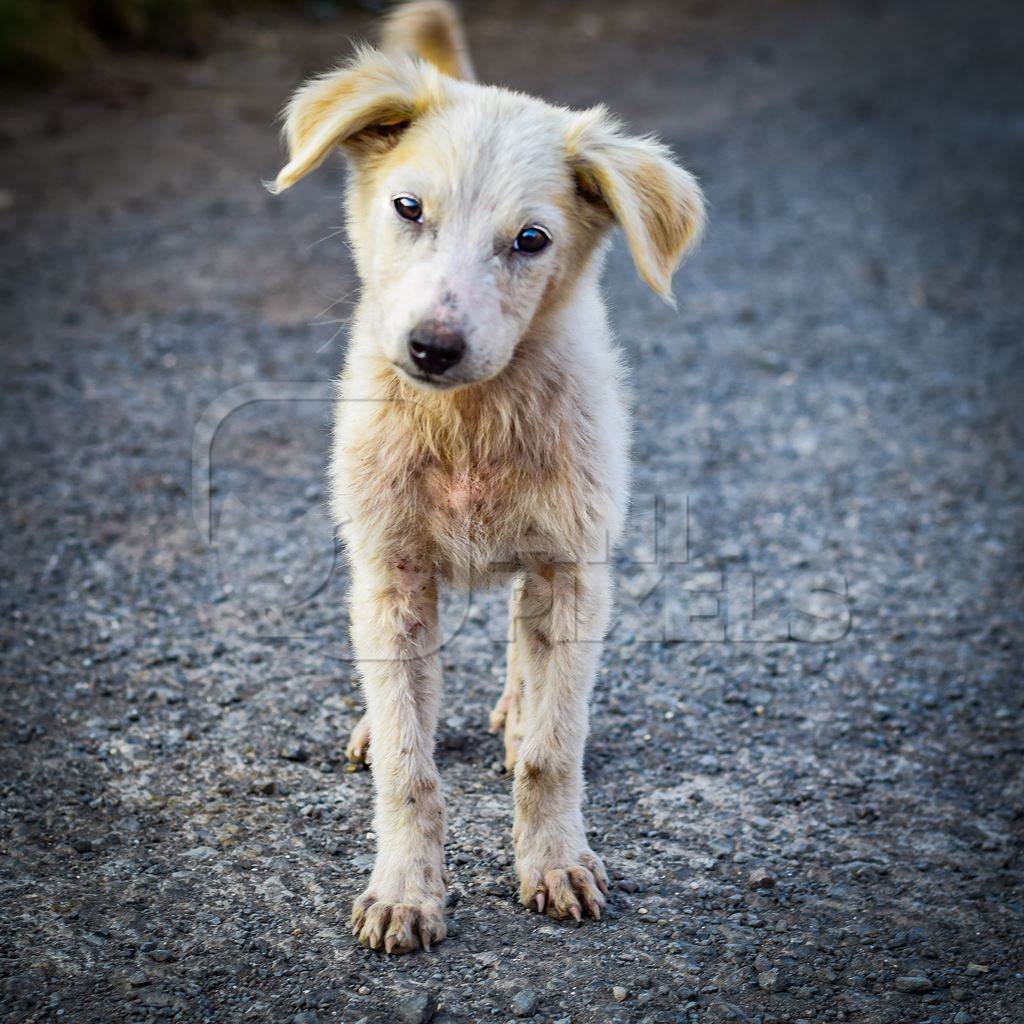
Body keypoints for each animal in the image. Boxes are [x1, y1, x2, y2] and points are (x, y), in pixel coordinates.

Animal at [272, 2, 704, 958]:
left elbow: (553, 750)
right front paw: (404, 890)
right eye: (408, 207)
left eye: (531, 239)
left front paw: (555, 863)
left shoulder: (573, 570)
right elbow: (409, 766)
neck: (467, 420)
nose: (432, 347)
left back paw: (516, 708)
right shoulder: (392, 574)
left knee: (524, 650)